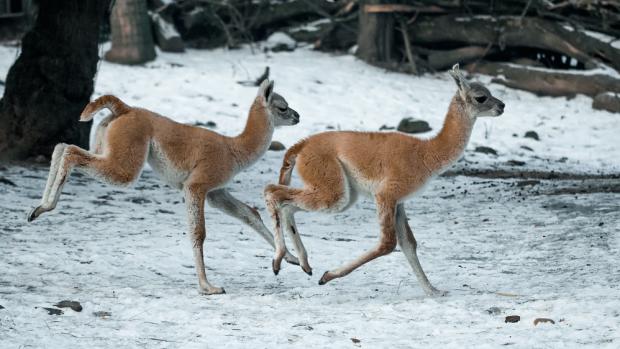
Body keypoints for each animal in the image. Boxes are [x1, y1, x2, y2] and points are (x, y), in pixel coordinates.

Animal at [27, 80, 302, 294]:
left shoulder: (216, 192)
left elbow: (249, 214)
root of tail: (125, 108)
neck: (233, 149)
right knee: (71, 152)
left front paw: (289, 258)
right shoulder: (197, 185)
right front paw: (208, 287)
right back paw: (46, 207)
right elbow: (198, 233)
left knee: (62, 147)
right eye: (282, 106)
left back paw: (38, 209)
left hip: (105, 147)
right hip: (126, 164)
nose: (297, 116)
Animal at [266, 64, 504, 294]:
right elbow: (388, 244)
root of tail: (301, 145)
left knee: (287, 205)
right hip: (332, 187)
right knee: (272, 191)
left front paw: (433, 291)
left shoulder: (399, 201)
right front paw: (328, 276)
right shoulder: (387, 193)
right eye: (481, 97)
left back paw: (303, 264)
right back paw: (279, 260)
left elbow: (409, 243)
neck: (426, 154)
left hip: (338, 192)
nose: (502, 106)